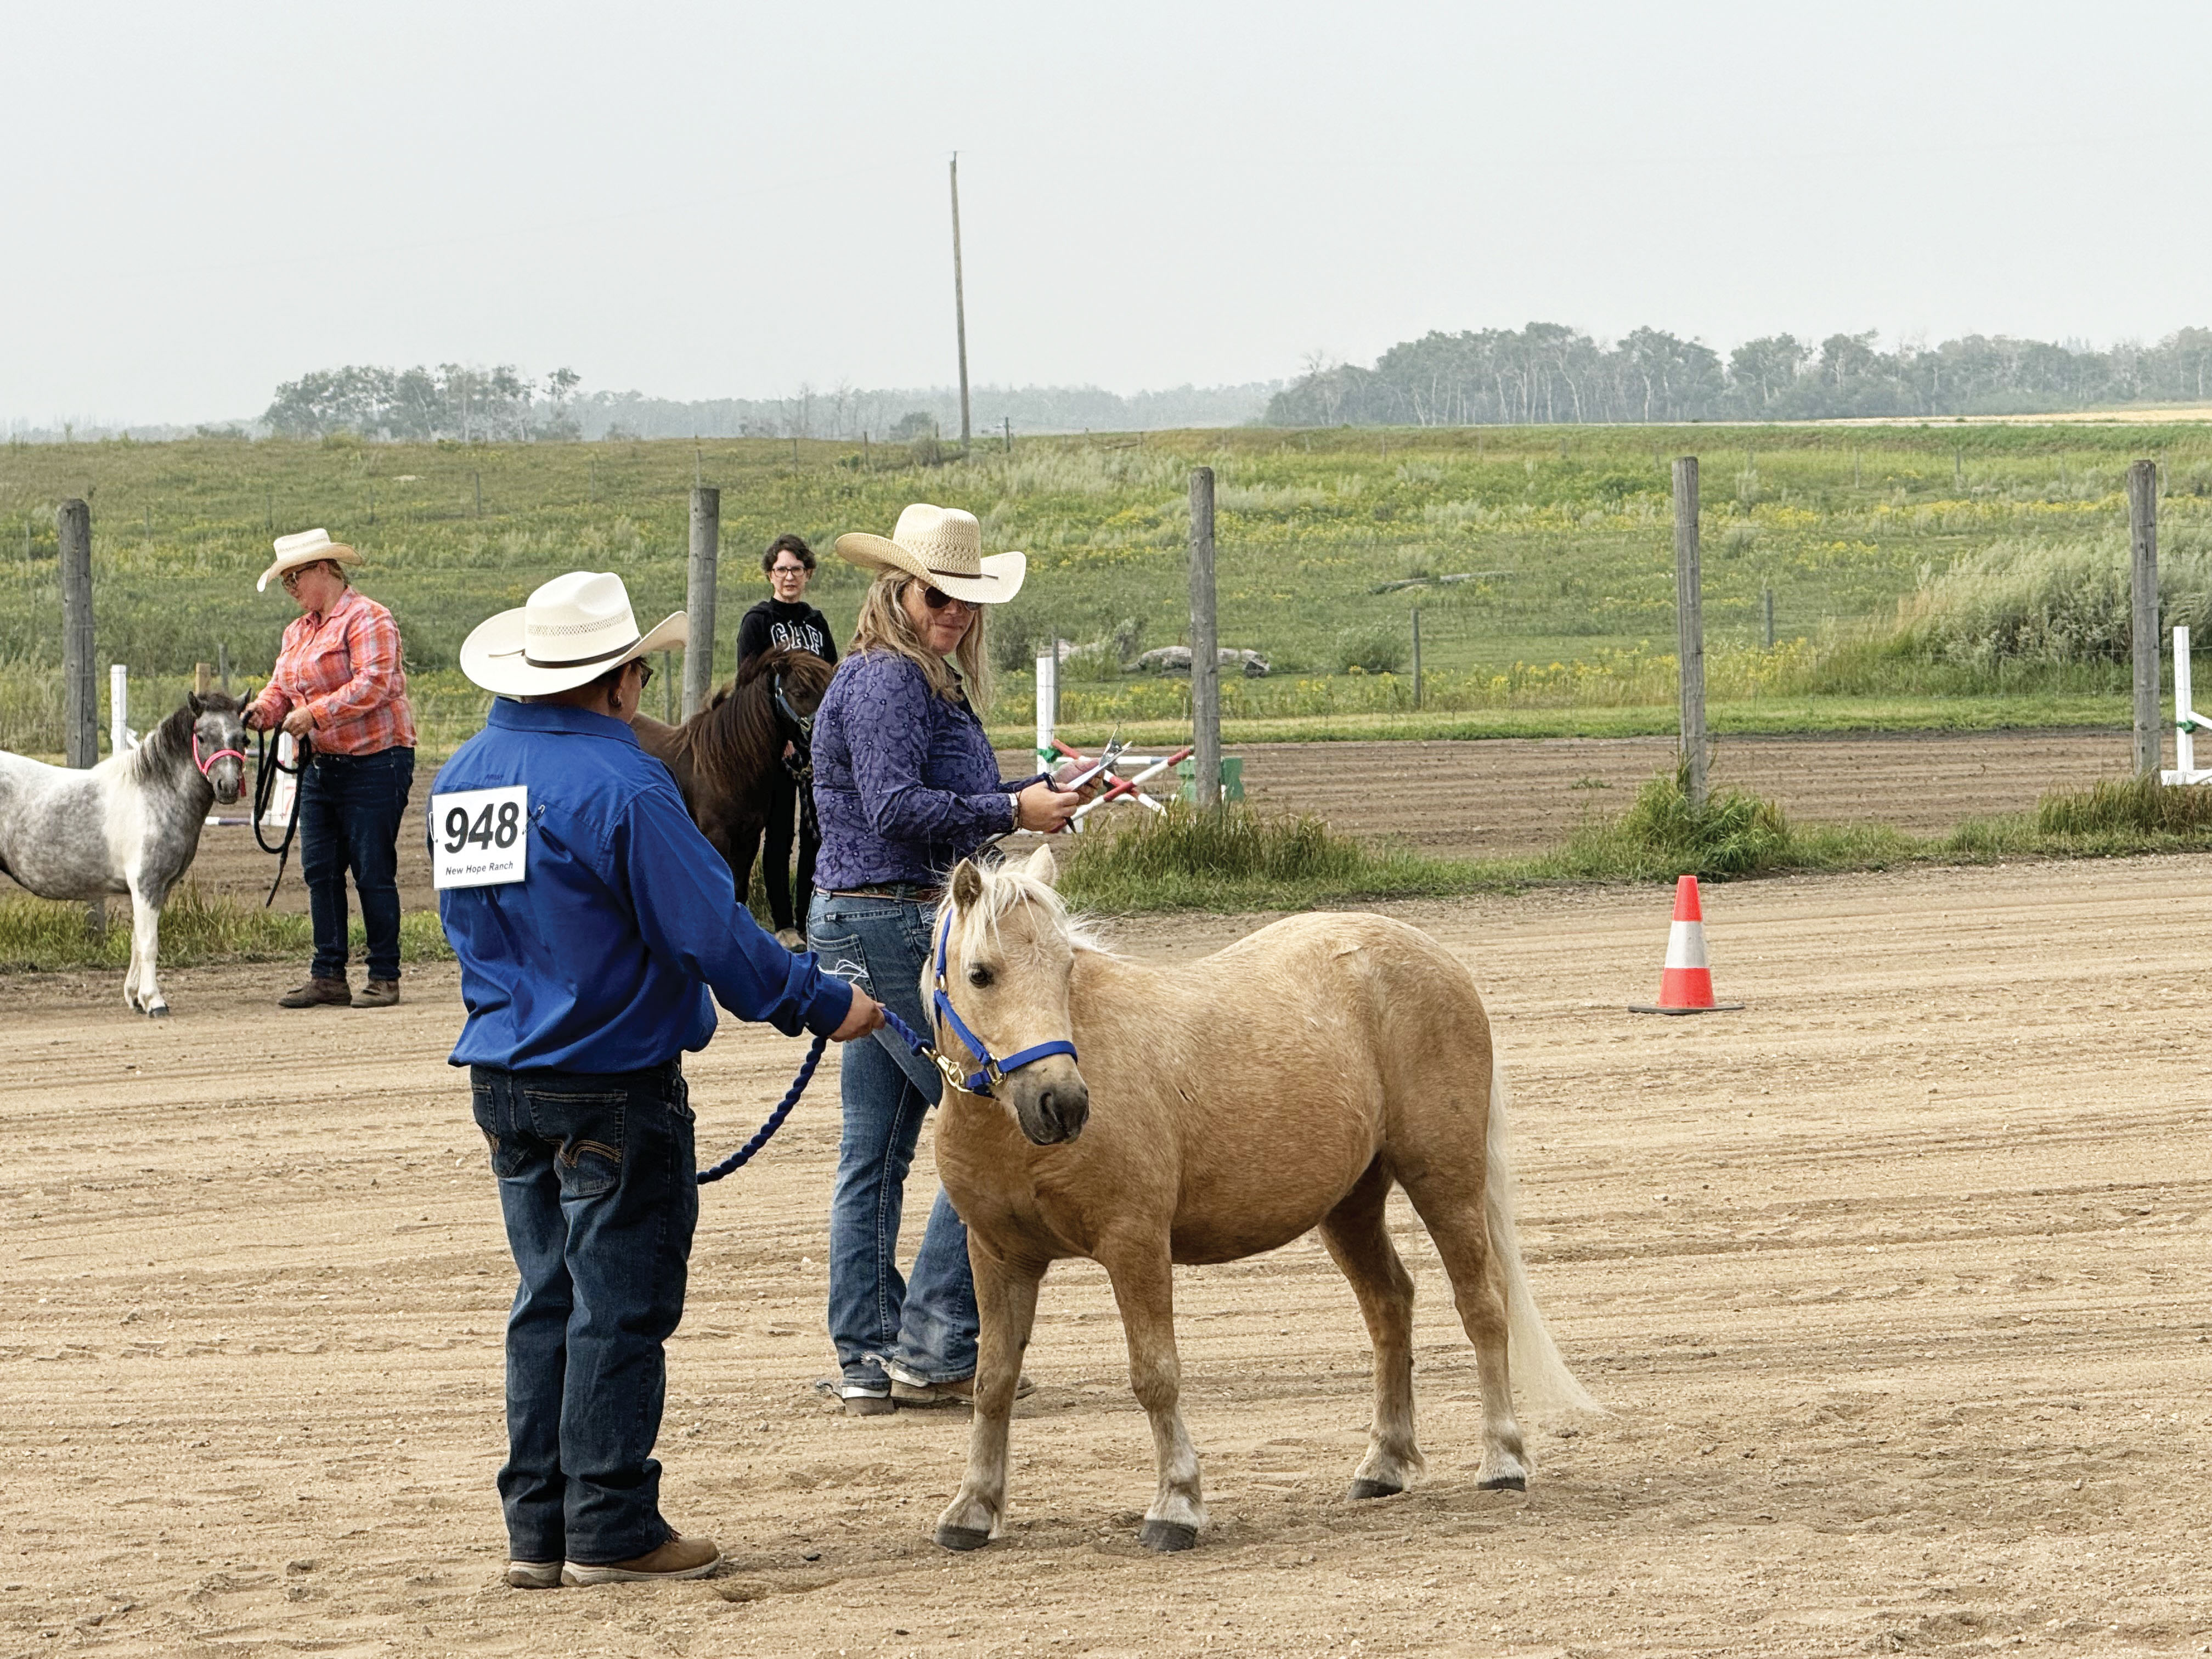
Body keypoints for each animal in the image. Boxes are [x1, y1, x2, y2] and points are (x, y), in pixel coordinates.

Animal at [0, 692, 249, 1017]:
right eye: (202, 736)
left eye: (243, 737)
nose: (228, 787)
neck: (155, 793)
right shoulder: (147, 884)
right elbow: (149, 943)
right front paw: (154, 1001)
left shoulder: (157, 888)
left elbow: (136, 941)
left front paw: (135, 997)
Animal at [919, 846, 1597, 1554]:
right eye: (981, 974)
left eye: (1066, 967)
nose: (1063, 1103)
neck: (1008, 1132)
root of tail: (1436, 956)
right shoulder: (998, 1257)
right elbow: (993, 1382)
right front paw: (972, 1509)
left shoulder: (1135, 1244)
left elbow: (1154, 1374)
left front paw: (1176, 1504)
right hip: (1351, 1204)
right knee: (1390, 1308)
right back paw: (1383, 1466)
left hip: (1445, 1178)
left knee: (1483, 1305)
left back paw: (1503, 1459)